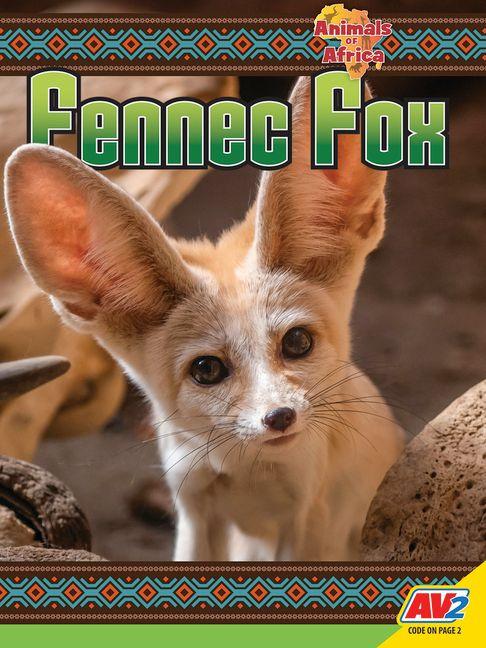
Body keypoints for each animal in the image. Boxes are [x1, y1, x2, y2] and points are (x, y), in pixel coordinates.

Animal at [4, 76, 403, 561]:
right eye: (207, 369)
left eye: (297, 343)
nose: (280, 416)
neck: (247, 476)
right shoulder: (194, 505)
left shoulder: (308, 513)